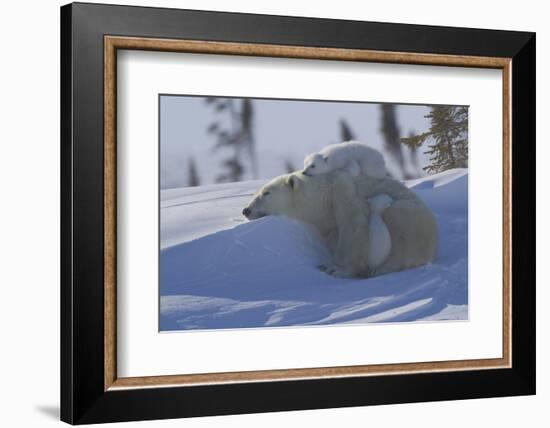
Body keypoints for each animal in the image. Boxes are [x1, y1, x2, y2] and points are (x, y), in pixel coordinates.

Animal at [244, 169, 438, 280]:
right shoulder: (326, 220)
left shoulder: (342, 190)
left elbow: (352, 226)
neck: (320, 195)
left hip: (407, 216)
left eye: (266, 193)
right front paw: (328, 263)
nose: (246, 210)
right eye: (257, 192)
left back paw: (377, 270)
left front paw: (335, 269)